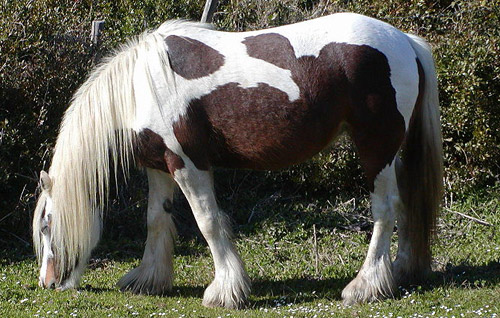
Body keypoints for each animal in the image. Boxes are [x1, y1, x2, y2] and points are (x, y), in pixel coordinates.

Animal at [33, 12, 444, 308]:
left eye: (47, 225)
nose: (48, 283)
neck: (141, 87)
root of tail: (404, 41)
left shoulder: (189, 164)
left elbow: (208, 222)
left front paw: (225, 291)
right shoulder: (159, 166)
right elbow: (155, 219)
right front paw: (148, 279)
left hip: (376, 148)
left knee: (385, 209)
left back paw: (365, 285)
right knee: (406, 206)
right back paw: (400, 271)